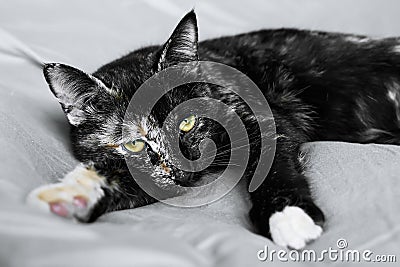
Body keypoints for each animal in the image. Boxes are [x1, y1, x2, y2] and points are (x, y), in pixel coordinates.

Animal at [26, 9, 400, 249]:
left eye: (188, 121)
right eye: (134, 145)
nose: (181, 167)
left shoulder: (265, 119)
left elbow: (271, 165)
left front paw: (287, 214)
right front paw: (72, 195)